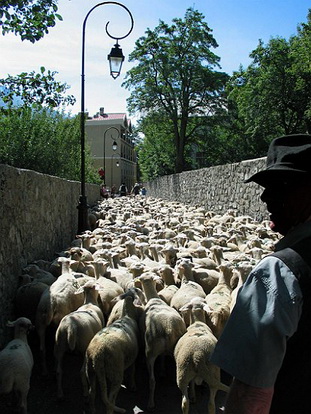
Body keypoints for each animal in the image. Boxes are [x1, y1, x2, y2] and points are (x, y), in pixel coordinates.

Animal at [138, 272, 186, 410]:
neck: (153, 298)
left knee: (152, 381)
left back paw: (150, 403)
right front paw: (163, 370)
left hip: (150, 351)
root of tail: (168, 328)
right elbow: (163, 357)